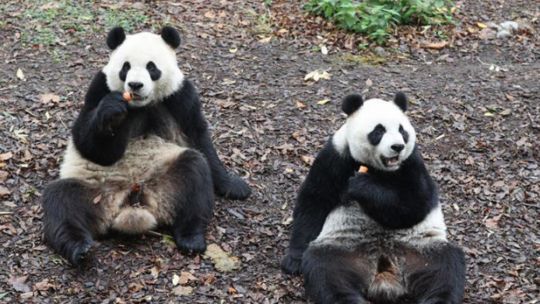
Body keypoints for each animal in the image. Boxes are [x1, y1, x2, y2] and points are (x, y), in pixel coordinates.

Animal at [41, 26, 251, 266]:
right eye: (125, 67)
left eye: (152, 67)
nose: (135, 85)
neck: (140, 105)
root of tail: (131, 203)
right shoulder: (99, 88)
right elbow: (90, 146)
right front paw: (111, 114)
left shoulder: (180, 95)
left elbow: (199, 138)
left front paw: (233, 185)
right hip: (95, 192)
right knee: (61, 201)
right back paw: (79, 248)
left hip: (166, 180)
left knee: (195, 173)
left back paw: (191, 238)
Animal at [282, 94, 464, 302]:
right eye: (379, 131)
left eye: (402, 130)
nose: (398, 147)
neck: (378, 168)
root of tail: (386, 275)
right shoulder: (335, 155)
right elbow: (315, 200)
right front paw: (293, 260)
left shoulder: (411, 162)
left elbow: (415, 204)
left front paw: (360, 186)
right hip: (344, 249)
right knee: (325, 271)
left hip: (421, 249)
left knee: (445, 268)